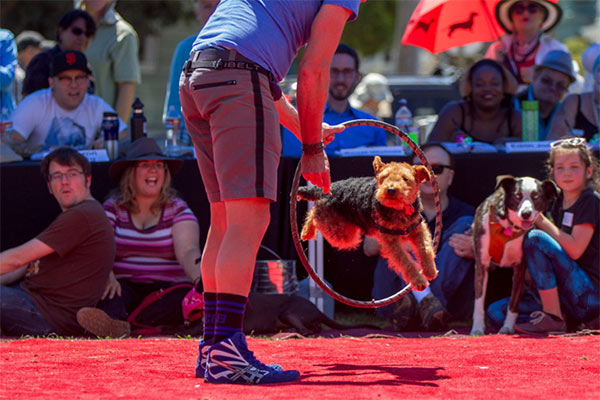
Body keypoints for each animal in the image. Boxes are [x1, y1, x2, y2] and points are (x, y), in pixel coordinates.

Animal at [298, 155, 436, 290]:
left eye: (405, 178)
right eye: (384, 177)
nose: (390, 190)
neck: (399, 209)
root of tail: (324, 191)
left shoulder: (418, 229)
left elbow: (425, 248)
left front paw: (430, 270)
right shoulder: (392, 242)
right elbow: (406, 261)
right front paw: (418, 281)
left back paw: (306, 232)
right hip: (343, 235)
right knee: (314, 214)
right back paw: (306, 232)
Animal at [468, 175, 556, 334]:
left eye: (536, 197)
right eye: (517, 196)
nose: (526, 213)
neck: (509, 227)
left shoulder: (520, 267)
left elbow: (513, 302)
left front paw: (508, 327)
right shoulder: (481, 264)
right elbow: (479, 300)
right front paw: (477, 328)